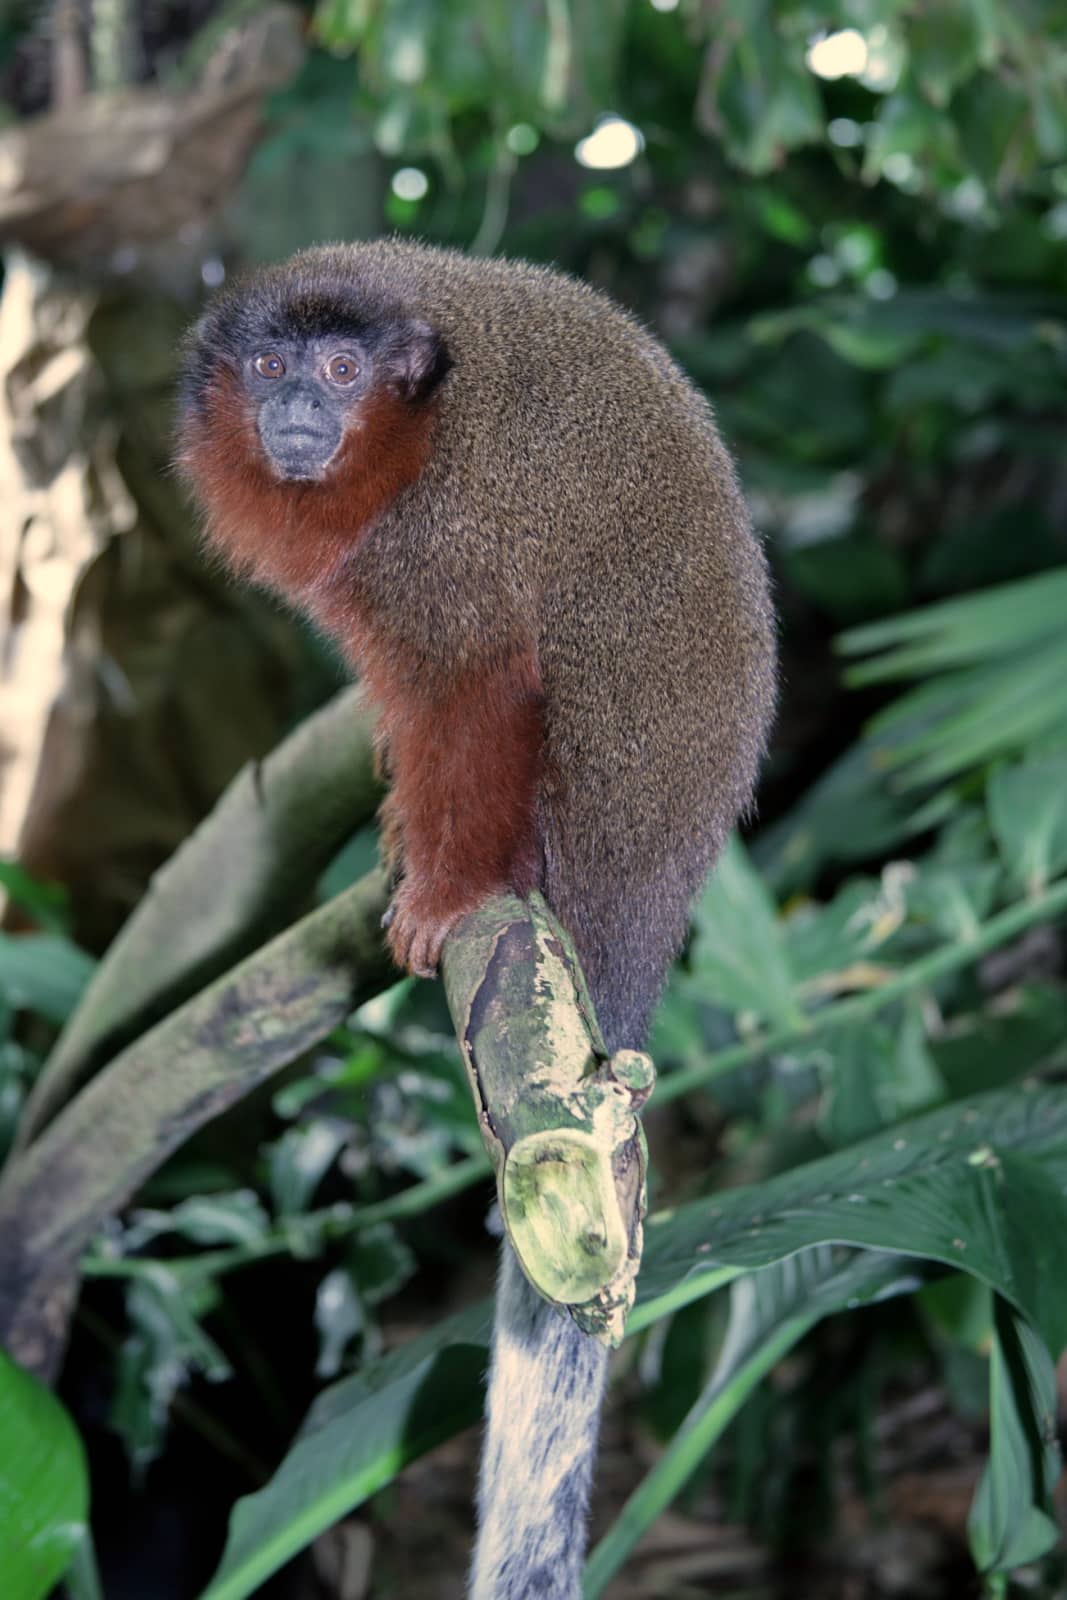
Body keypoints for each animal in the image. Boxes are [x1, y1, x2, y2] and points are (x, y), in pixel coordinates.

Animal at [177, 238, 776, 1600]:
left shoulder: (441, 541)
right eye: (273, 368)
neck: (407, 436)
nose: (299, 415)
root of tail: (655, 884)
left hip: (596, 797)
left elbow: (479, 682)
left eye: (342, 372)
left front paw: (448, 888)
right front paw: (406, 840)